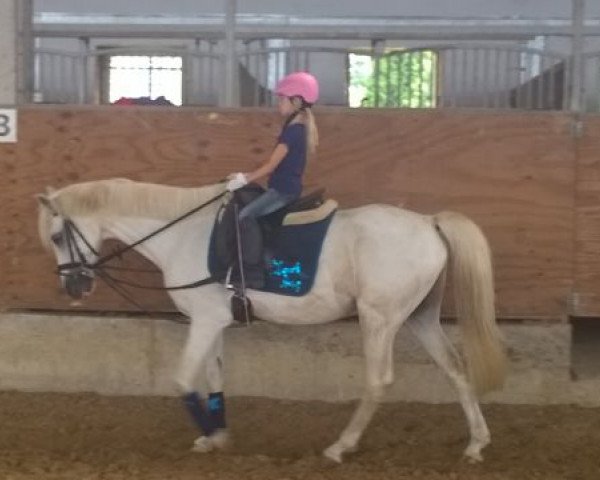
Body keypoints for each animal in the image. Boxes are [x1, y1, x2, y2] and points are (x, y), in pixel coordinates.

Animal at [36, 178, 506, 464]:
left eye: (58, 236)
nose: (73, 288)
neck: (183, 234)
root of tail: (428, 222)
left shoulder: (203, 321)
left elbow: (184, 380)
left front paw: (211, 436)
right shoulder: (214, 322)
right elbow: (214, 378)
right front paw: (218, 436)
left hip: (380, 319)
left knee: (378, 381)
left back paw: (340, 447)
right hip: (420, 317)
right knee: (456, 370)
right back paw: (475, 444)